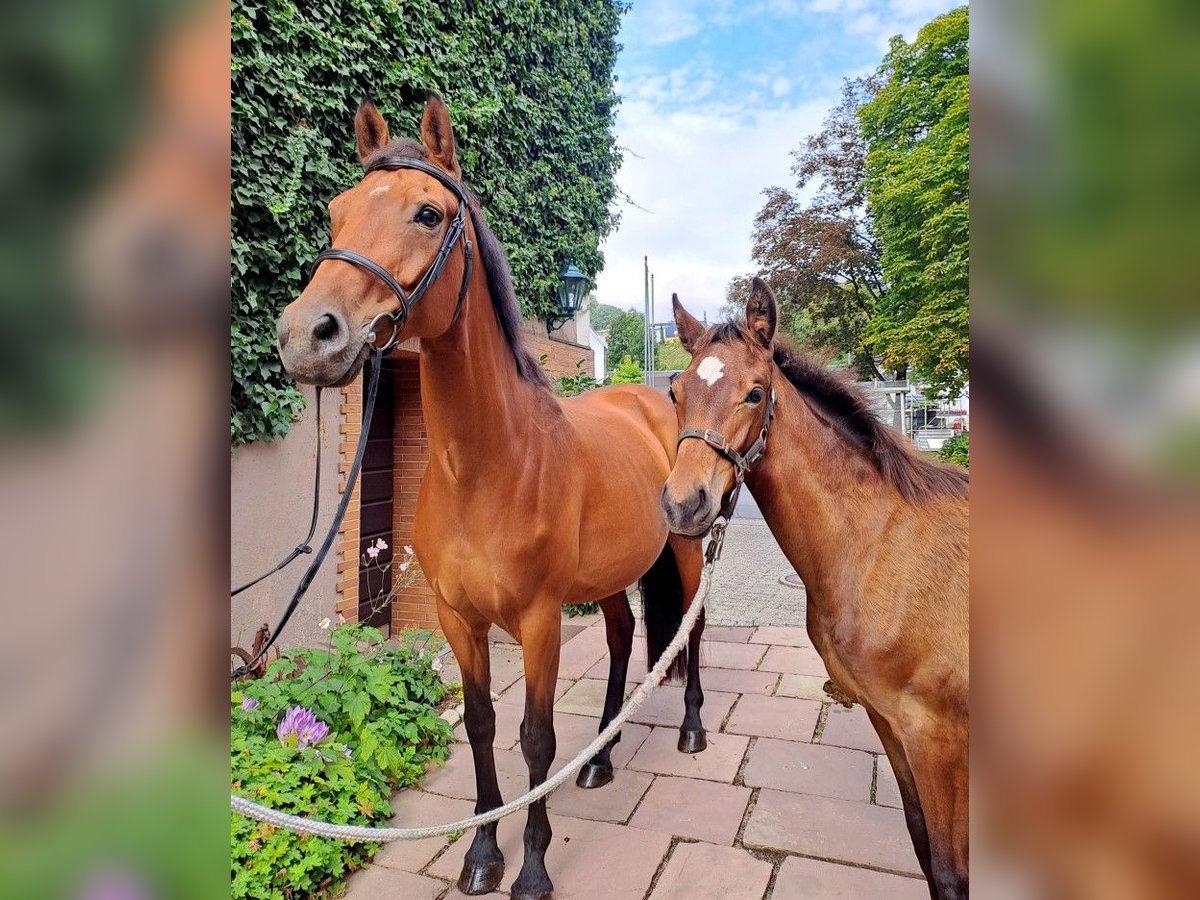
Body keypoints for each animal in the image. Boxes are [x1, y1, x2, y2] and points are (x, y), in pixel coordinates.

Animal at [273, 95, 705, 897]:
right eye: (335, 211)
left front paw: (532, 868)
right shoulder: (457, 618)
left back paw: (691, 729)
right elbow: (481, 726)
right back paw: (600, 759)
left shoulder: (538, 621)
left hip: (688, 552)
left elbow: (535, 737)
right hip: (610, 575)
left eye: (428, 213)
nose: (307, 337)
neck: (488, 469)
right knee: (623, 638)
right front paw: (481, 854)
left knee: (690, 633)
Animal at [667, 278, 974, 897]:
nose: (683, 505)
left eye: (755, 394)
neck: (878, 544)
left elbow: (953, 873)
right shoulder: (890, 723)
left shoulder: (940, 740)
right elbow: (925, 849)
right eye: (674, 392)